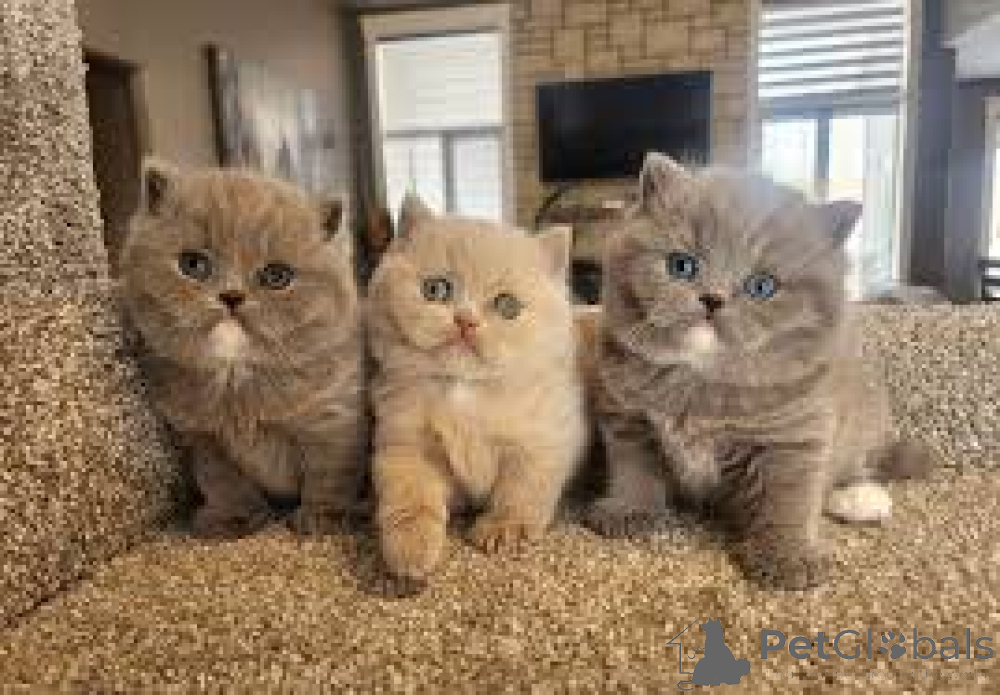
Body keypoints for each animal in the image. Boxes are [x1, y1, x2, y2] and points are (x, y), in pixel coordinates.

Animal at [120, 161, 367, 538]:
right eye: (193, 264)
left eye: (277, 276)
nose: (232, 296)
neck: (236, 381)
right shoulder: (203, 439)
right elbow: (223, 480)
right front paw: (236, 517)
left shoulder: (334, 418)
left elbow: (330, 472)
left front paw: (325, 515)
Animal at [367, 195, 587, 581]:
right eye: (436, 289)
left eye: (507, 305)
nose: (465, 321)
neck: (464, 391)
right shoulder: (405, 444)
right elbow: (410, 494)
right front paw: (410, 549)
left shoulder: (544, 439)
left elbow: (521, 489)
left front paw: (504, 528)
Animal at [588, 152, 931, 589]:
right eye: (682, 265)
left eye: (762, 286)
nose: (712, 299)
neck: (699, 382)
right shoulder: (628, 419)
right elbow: (634, 467)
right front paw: (631, 510)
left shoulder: (796, 433)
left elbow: (788, 496)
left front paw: (787, 556)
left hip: (862, 414)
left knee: (857, 463)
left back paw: (859, 498)